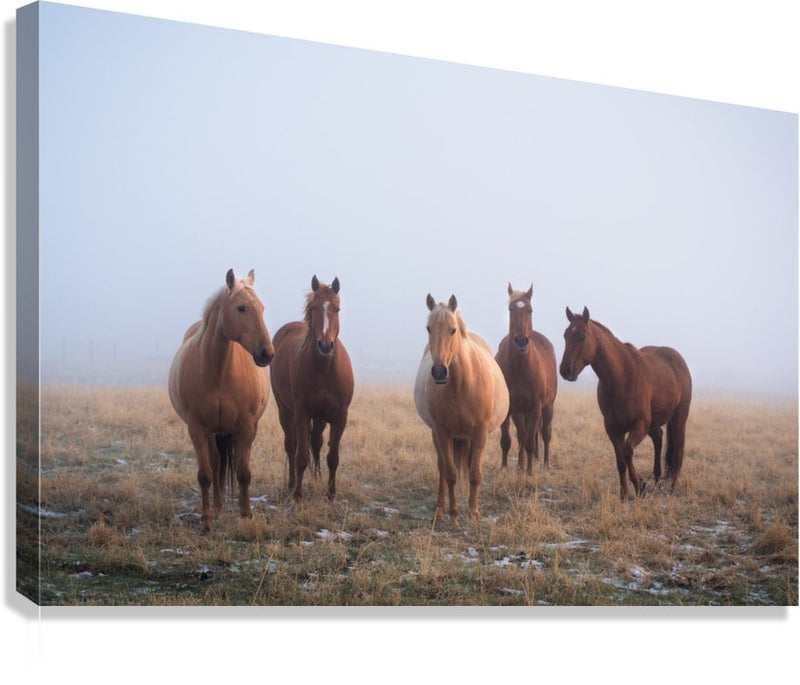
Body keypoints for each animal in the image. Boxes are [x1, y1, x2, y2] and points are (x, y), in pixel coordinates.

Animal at [167, 270, 274, 532]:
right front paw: (206, 522)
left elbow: (243, 472)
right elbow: (205, 475)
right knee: (215, 463)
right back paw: (217, 507)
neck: (219, 372)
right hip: (212, 432)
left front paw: (247, 515)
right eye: (241, 308)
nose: (267, 353)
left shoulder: (246, 426)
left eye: (262, 308)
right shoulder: (196, 428)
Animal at [268, 272, 354, 502]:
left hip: (321, 416)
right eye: (314, 308)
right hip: (285, 410)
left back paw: (316, 477)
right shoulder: (302, 414)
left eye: (337, 308)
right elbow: (300, 456)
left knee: (316, 442)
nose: (325, 346)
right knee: (291, 446)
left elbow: (332, 456)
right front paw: (298, 495)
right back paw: (291, 484)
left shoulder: (339, 416)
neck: (324, 370)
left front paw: (331, 494)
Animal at [416, 292, 510, 520]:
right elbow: (450, 474)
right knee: (442, 468)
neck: (461, 385)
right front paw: (454, 514)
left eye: (453, 329)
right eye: (429, 328)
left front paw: (474, 513)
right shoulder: (442, 432)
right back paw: (440, 508)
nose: (439, 372)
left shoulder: (480, 432)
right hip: (439, 436)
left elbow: (475, 474)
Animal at [494, 282, 556, 470]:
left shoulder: (535, 407)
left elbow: (529, 441)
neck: (520, 369)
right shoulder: (513, 409)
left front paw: (529, 471)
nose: (521, 341)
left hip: (547, 407)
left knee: (545, 434)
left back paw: (545, 464)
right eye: (510, 309)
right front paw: (507, 468)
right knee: (524, 435)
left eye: (530, 310)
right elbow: (510, 440)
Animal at [556, 308, 692, 500]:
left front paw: (639, 485)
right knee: (658, 439)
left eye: (582, 336)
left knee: (678, 452)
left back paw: (671, 489)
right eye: (566, 335)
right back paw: (658, 482)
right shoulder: (613, 428)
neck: (621, 377)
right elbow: (620, 460)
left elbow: (627, 452)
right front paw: (624, 494)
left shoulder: (640, 424)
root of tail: (678, 360)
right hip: (653, 424)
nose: (565, 371)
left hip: (679, 417)